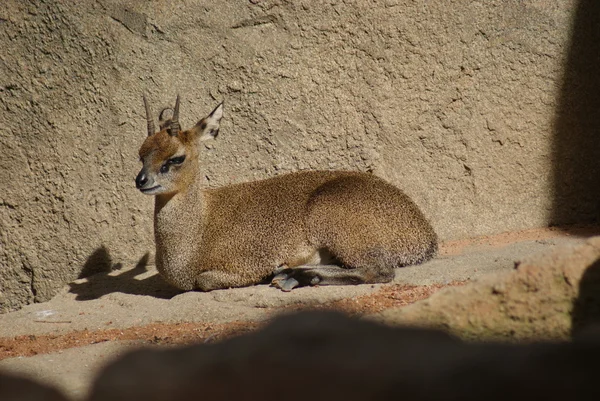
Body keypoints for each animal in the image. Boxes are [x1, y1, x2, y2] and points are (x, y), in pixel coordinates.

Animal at [136, 96, 436, 290]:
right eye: (141, 154)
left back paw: (295, 276)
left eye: (176, 158)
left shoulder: (242, 264)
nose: (141, 180)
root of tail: (425, 235)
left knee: (377, 270)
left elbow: (205, 280)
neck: (199, 228)